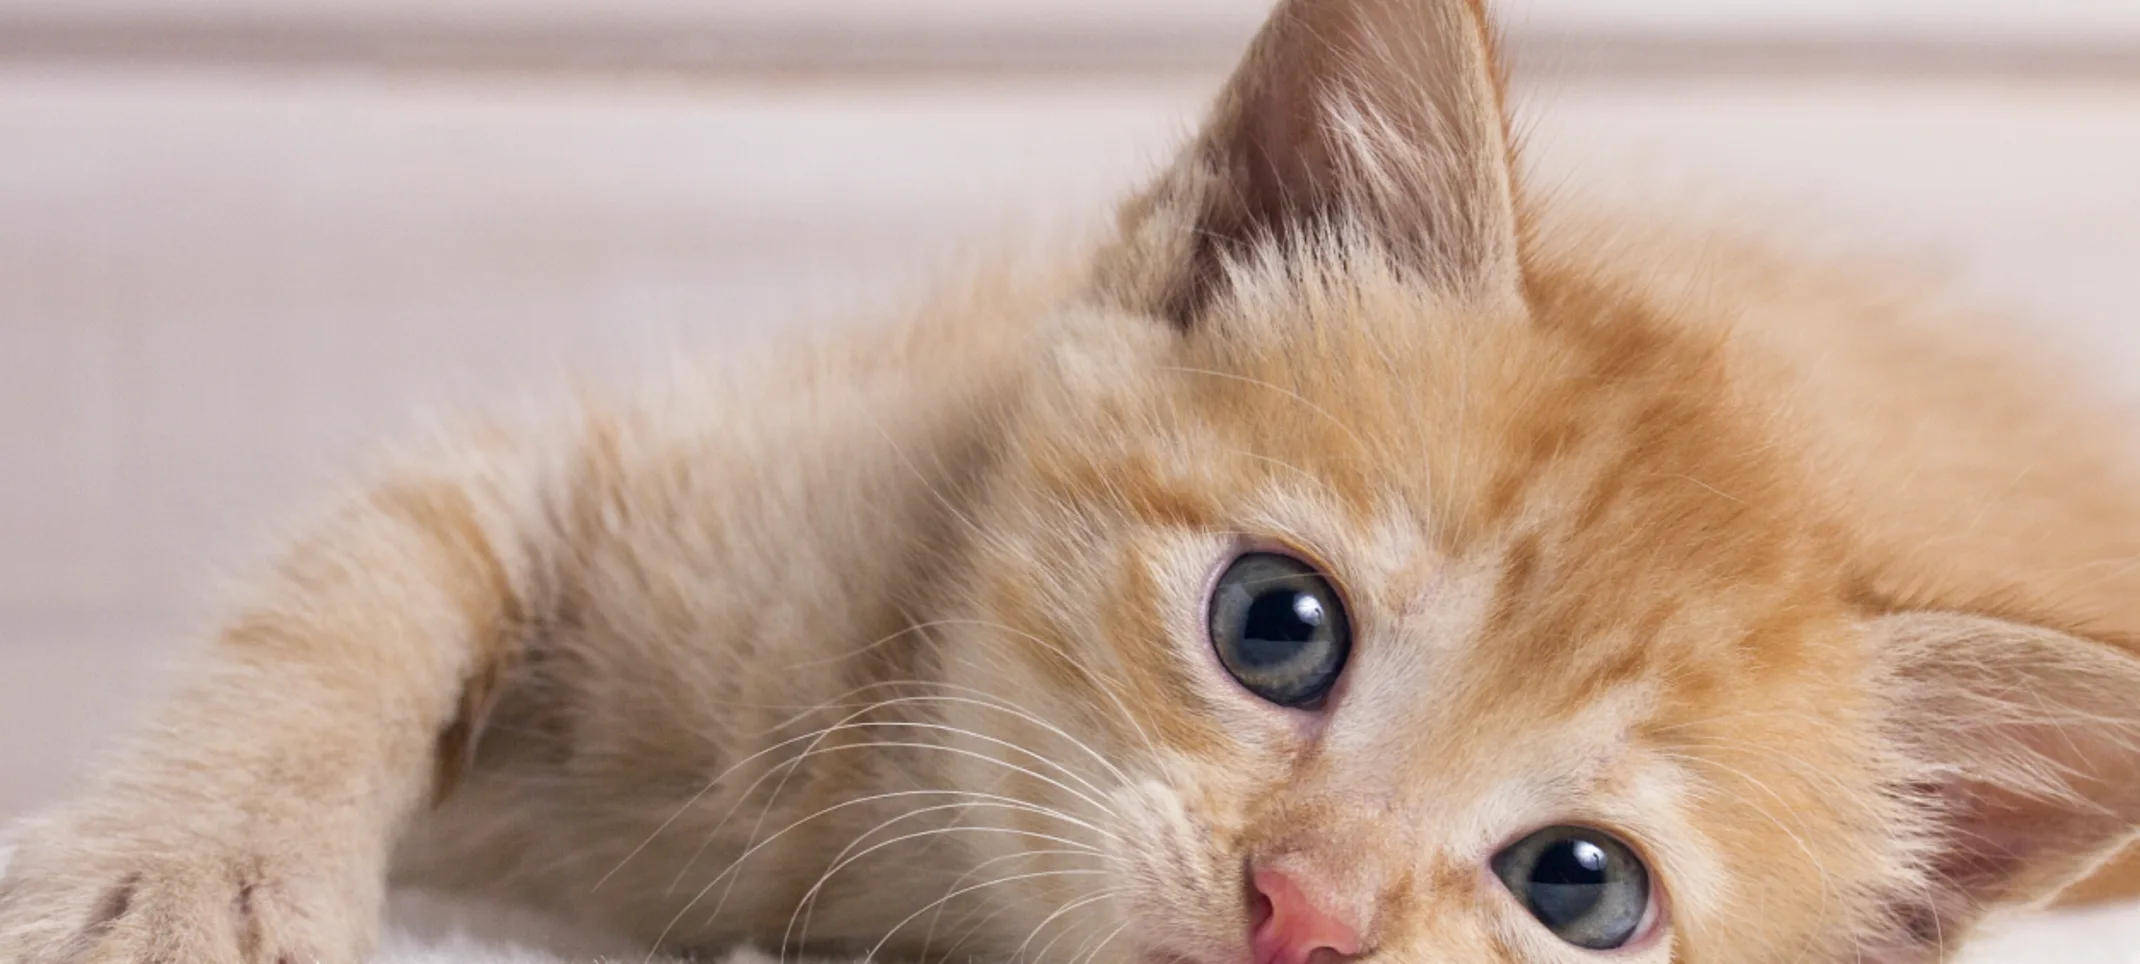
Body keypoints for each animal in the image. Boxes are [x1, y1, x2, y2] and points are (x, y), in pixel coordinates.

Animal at [4, 1, 2140, 964]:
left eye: (1581, 882)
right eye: (1277, 621)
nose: (1305, 905)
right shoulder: (585, 487)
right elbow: (351, 592)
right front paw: (184, 866)